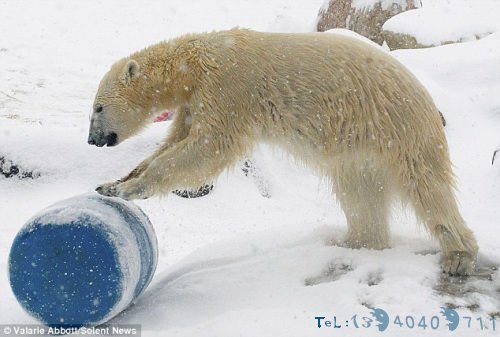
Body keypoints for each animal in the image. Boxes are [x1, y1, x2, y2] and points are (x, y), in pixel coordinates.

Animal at [88, 28, 478, 276]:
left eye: (98, 107)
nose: (93, 140)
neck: (194, 62)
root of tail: (427, 100)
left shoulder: (229, 89)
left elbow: (209, 147)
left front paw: (129, 188)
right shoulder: (194, 102)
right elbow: (175, 142)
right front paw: (114, 182)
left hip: (397, 129)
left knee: (427, 187)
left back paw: (458, 255)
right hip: (360, 151)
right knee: (360, 194)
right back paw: (353, 240)